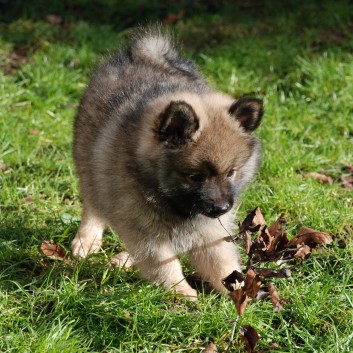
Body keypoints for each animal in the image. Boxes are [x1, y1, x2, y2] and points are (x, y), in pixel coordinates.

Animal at [71, 27, 262, 298]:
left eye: (231, 173)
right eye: (195, 177)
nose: (222, 207)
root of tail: (145, 56)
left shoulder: (208, 228)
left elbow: (220, 262)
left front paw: (239, 291)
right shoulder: (143, 228)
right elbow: (164, 264)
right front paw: (184, 294)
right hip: (89, 165)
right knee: (93, 205)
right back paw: (86, 241)